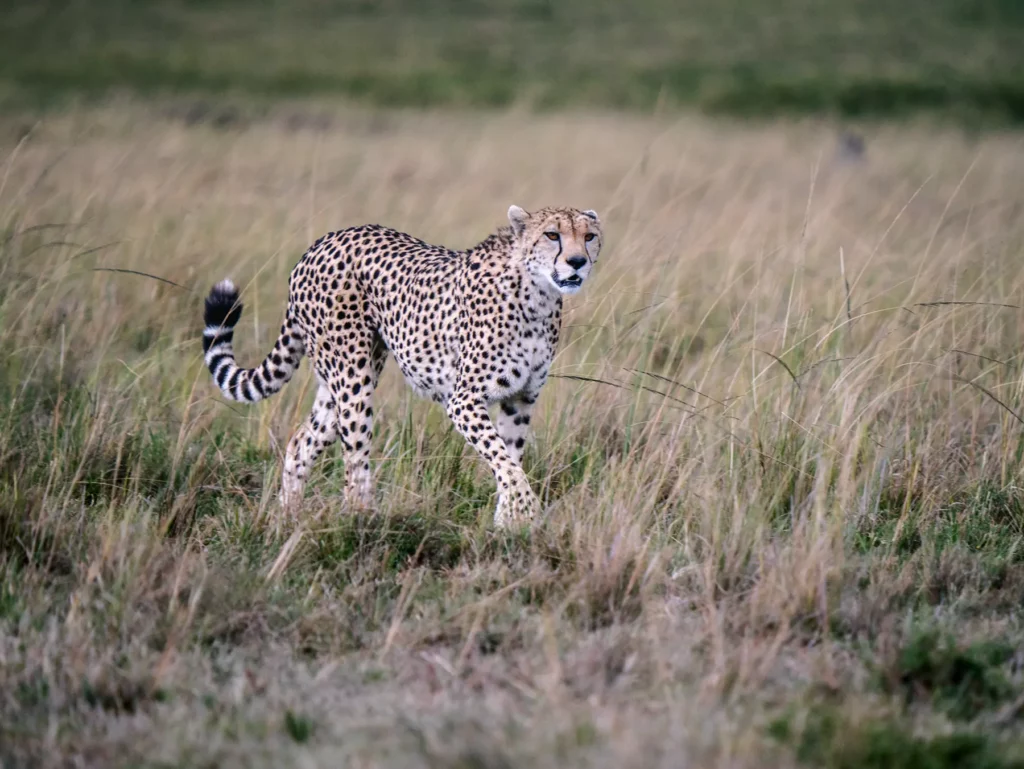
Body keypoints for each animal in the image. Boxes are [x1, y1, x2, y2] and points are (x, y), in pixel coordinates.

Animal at [201, 204, 603, 527]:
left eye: (589, 236)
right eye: (552, 235)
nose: (577, 262)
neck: (538, 295)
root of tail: (321, 243)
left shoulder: (520, 398)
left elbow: (510, 459)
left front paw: (509, 523)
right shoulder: (464, 399)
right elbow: (505, 462)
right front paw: (523, 513)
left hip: (338, 382)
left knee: (302, 441)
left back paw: (289, 518)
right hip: (353, 376)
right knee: (354, 459)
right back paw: (363, 522)